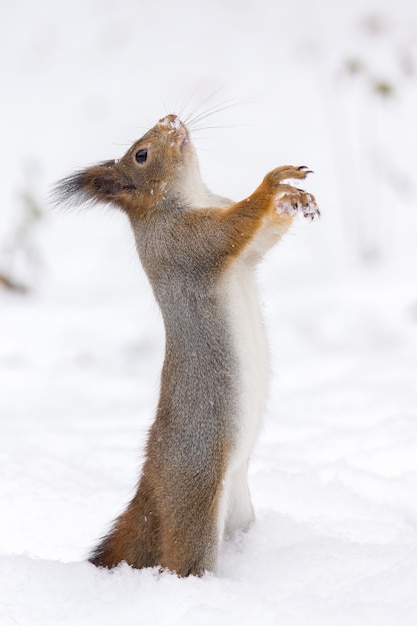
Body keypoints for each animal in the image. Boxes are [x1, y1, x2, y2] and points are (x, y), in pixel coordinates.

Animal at [57, 113, 318, 576]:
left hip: (237, 506)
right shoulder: (187, 243)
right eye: (141, 155)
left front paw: (292, 198)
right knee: (184, 560)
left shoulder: (244, 250)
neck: (189, 195)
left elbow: (261, 237)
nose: (171, 119)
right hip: (196, 499)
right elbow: (234, 226)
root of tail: (150, 490)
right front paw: (273, 183)